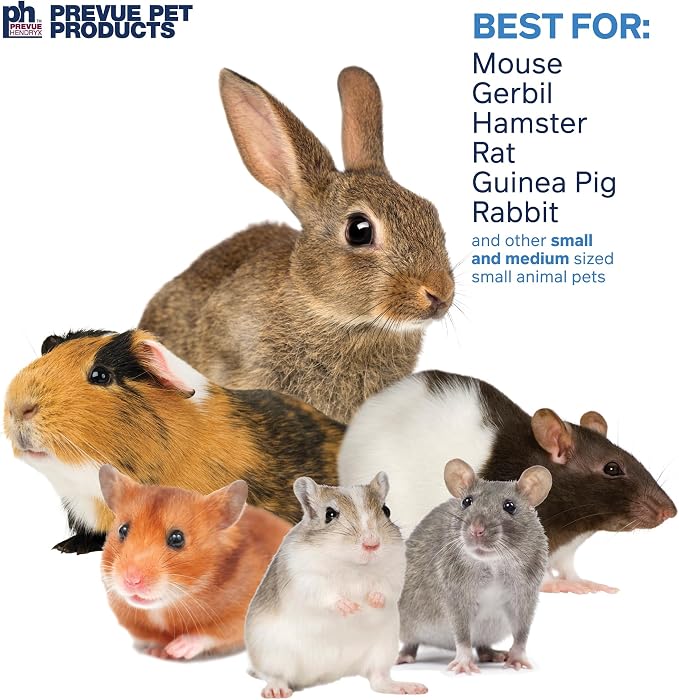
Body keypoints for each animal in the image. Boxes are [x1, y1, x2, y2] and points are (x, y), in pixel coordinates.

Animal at [99, 465, 290, 659]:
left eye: (177, 538)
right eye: (123, 530)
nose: (131, 580)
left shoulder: (241, 614)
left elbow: (213, 633)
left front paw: (176, 649)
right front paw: (158, 651)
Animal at [245, 473, 427, 697]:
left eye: (386, 510)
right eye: (329, 514)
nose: (372, 544)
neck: (353, 565)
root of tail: (327, 674)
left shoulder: (395, 570)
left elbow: (386, 588)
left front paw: (373, 601)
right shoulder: (307, 578)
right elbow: (327, 595)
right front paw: (351, 607)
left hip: (383, 649)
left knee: (378, 679)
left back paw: (408, 687)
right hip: (273, 654)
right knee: (275, 676)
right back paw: (276, 690)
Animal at [338, 371, 676, 593]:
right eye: (612, 468)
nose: (669, 511)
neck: (575, 524)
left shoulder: (566, 547)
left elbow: (568, 565)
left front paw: (580, 581)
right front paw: (555, 585)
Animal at [399, 459, 552, 674]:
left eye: (510, 506)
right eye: (467, 501)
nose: (476, 530)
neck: (494, 564)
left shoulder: (525, 593)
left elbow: (522, 630)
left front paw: (517, 657)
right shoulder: (456, 591)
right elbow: (462, 631)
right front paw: (464, 661)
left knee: (481, 645)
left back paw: (490, 653)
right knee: (411, 642)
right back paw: (405, 655)